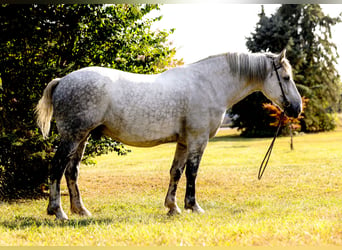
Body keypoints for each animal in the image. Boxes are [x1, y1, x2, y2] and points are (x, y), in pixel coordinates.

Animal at [35, 48, 302, 219]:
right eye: (286, 77)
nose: (297, 108)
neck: (208, 84)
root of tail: (62, 80)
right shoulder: (197, 139)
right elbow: (192, 173)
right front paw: (193, 206)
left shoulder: (183, 142)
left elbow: (176, 172)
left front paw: (173, 207)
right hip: (72, 136)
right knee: (57, 168)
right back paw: (58, 212)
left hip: (82, 137)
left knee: (71, 171)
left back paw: (80, 210)